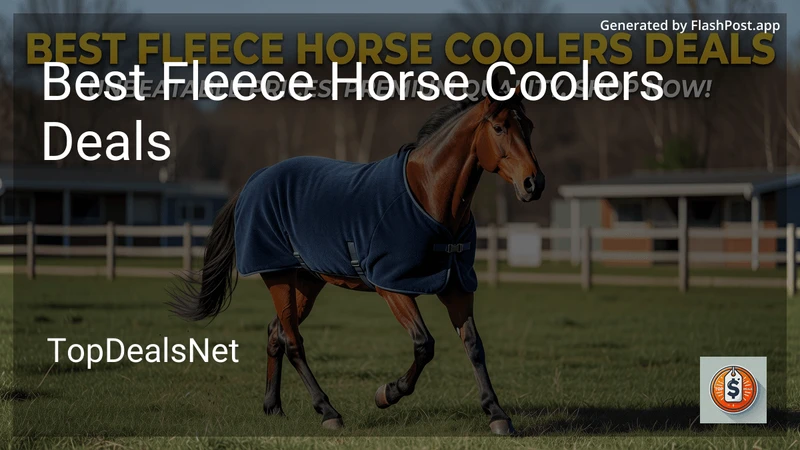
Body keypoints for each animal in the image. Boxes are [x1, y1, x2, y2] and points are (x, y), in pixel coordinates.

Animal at [168, 84, 545, 435]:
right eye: (500, 128)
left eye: (528, 125)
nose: (534, 183)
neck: (428, 194)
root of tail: (254, 180)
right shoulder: (392, 287)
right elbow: (424, 345)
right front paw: (387, 393)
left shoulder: (456, 286)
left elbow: (474, 346)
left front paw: (497, 414)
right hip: (277, 276)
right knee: (292, 341)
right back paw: (328, 412)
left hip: (306, 281)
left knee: (276, 332)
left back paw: (274, 407)